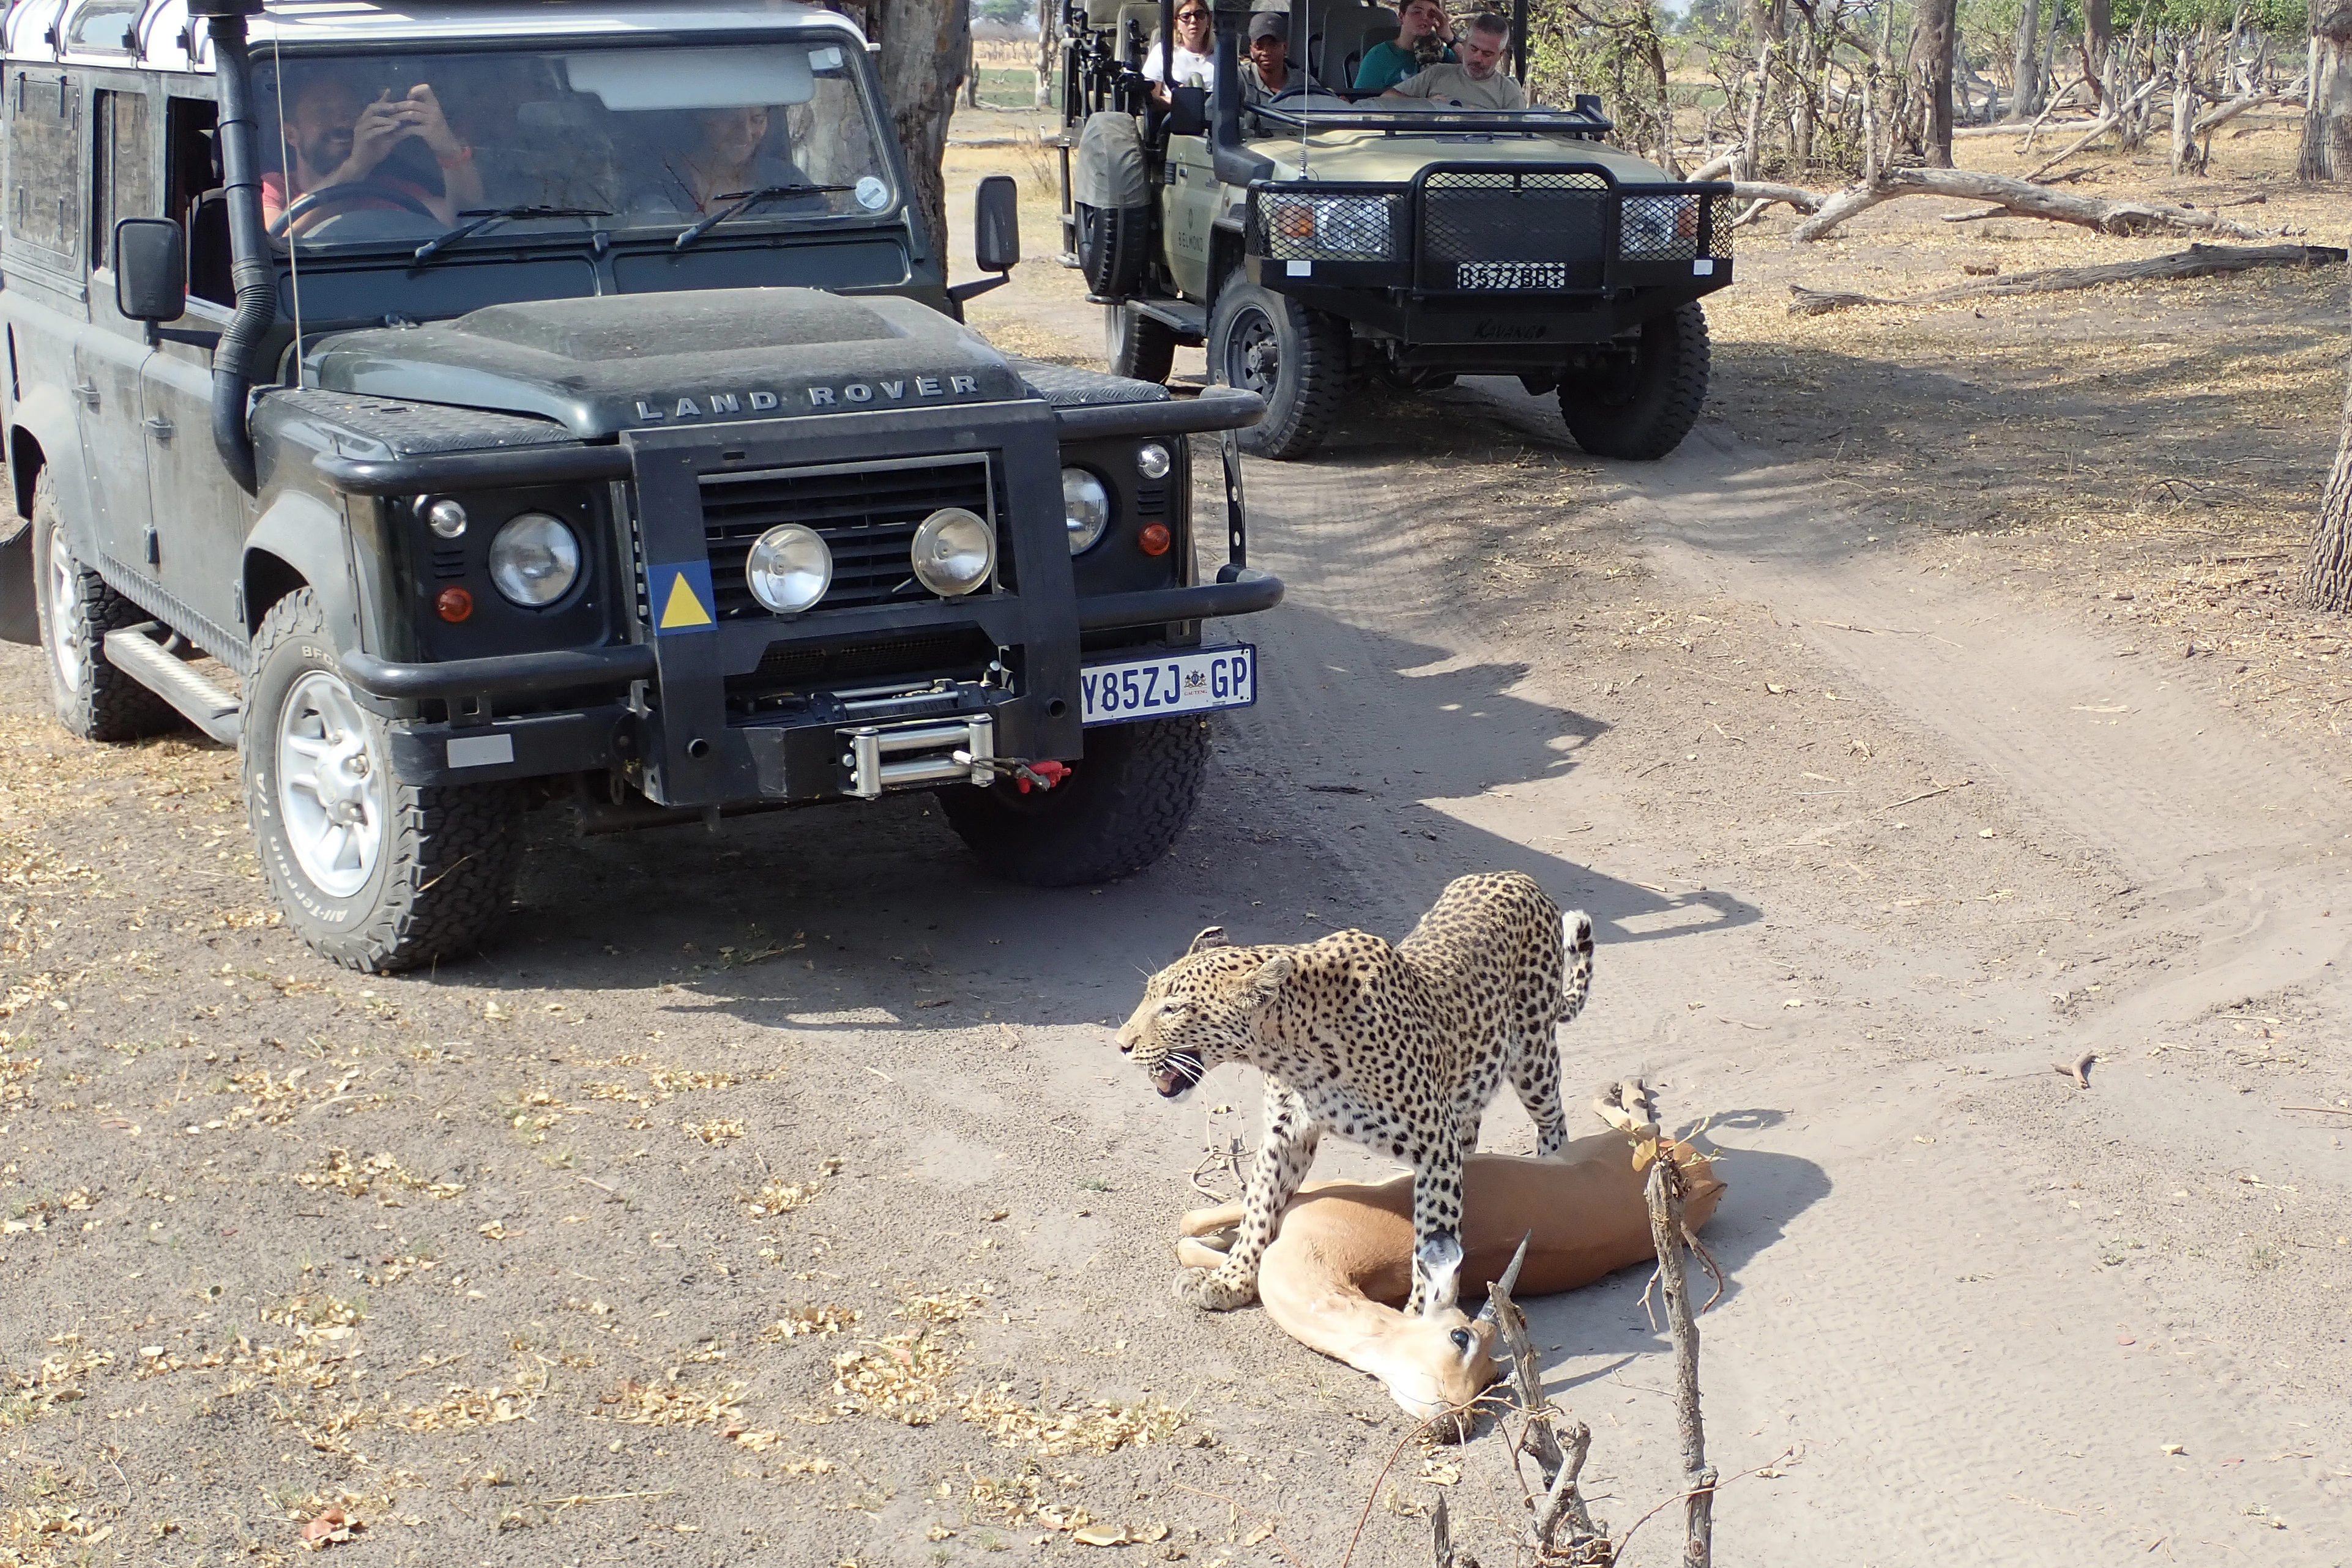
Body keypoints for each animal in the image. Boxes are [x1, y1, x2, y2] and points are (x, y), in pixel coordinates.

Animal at [1116, 870, 1594, 1318]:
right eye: (1149, 995)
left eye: (1173, 1008)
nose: (1122, 1044)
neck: (1291, 1051)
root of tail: (1519, 876)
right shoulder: (1285, 1133)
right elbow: (1258, 1207)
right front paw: (1230, 1280)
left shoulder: (1435, 1144)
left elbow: (1433, 1234)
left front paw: (1419, 1317)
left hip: (1533, 1057)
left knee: (1552, 1118)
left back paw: (1553, 1165)